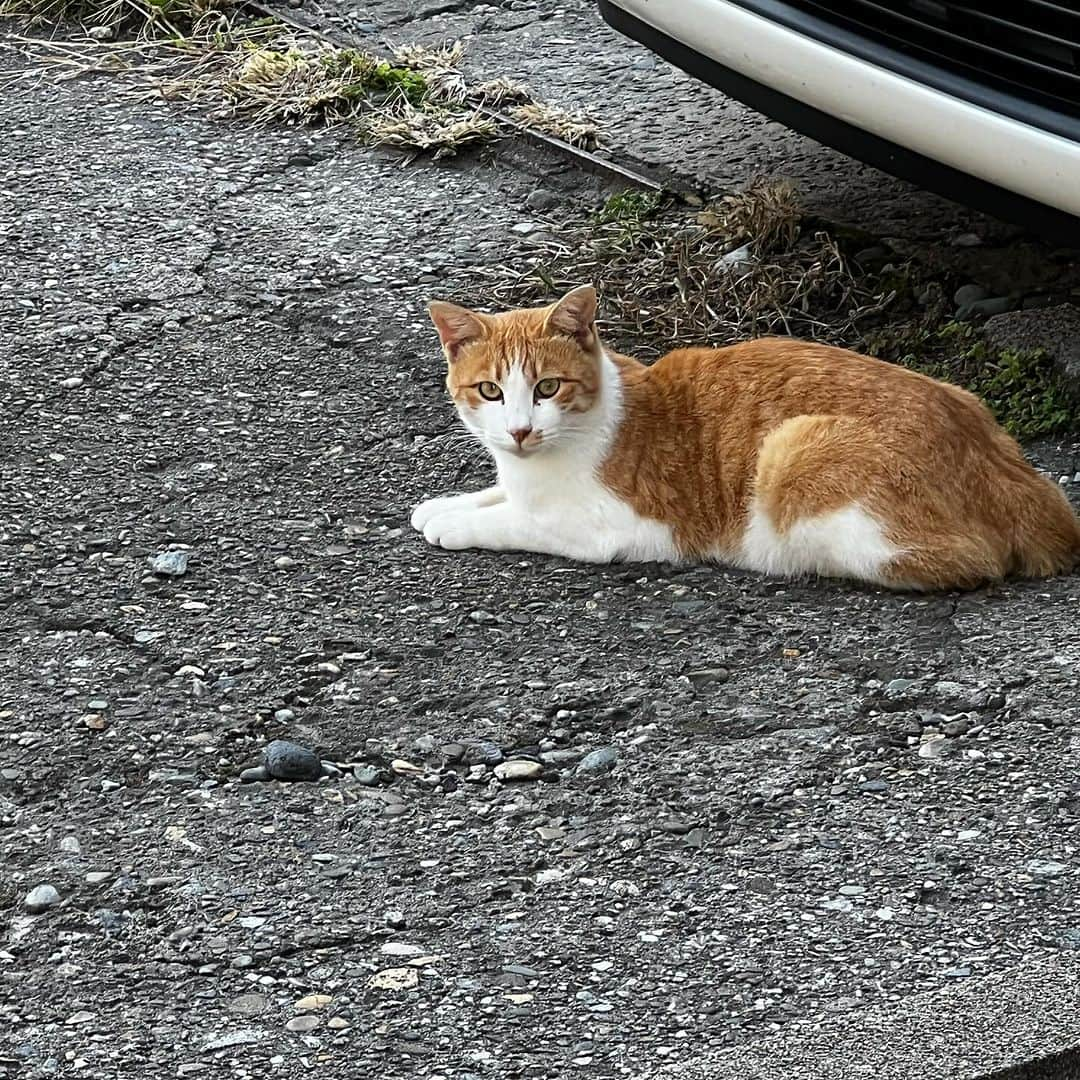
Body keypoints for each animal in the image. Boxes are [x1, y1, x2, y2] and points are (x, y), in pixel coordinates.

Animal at [410, 285, 1080, 591]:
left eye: (547, 387)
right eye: (491, 391)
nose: (521, 429)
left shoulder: (609, 528)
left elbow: (515, 522)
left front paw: (458, 523)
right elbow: (495, 495)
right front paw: (446, 504)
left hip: (795, 453)